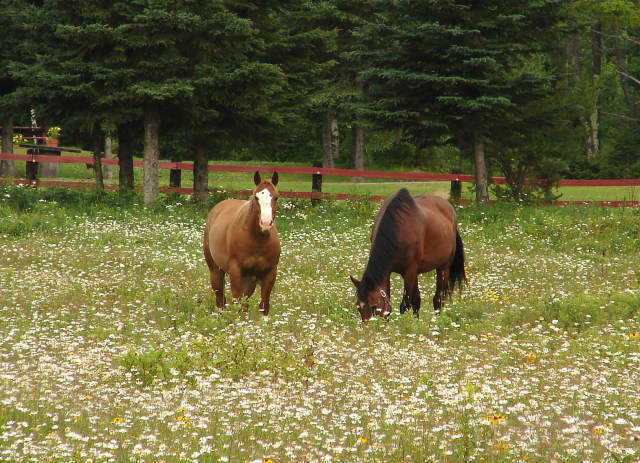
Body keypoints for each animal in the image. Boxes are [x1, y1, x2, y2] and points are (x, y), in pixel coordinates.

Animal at [201, 172, 278, 318]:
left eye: (276, 197)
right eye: (256, 197)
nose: (265, 224)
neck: (257, 241)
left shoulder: (270, 273)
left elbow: (264, 306)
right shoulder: (235, 272)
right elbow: (238, 303)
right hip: (215, 271)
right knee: (221, 300)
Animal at [350, 188, 464, 322]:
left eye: (373, 306)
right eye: (358, 308)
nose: (370, 326)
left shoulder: (409, 272)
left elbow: (405, 304)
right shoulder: (393, 272)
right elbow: (414, 300)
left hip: (443, 268)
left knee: (438, 298)